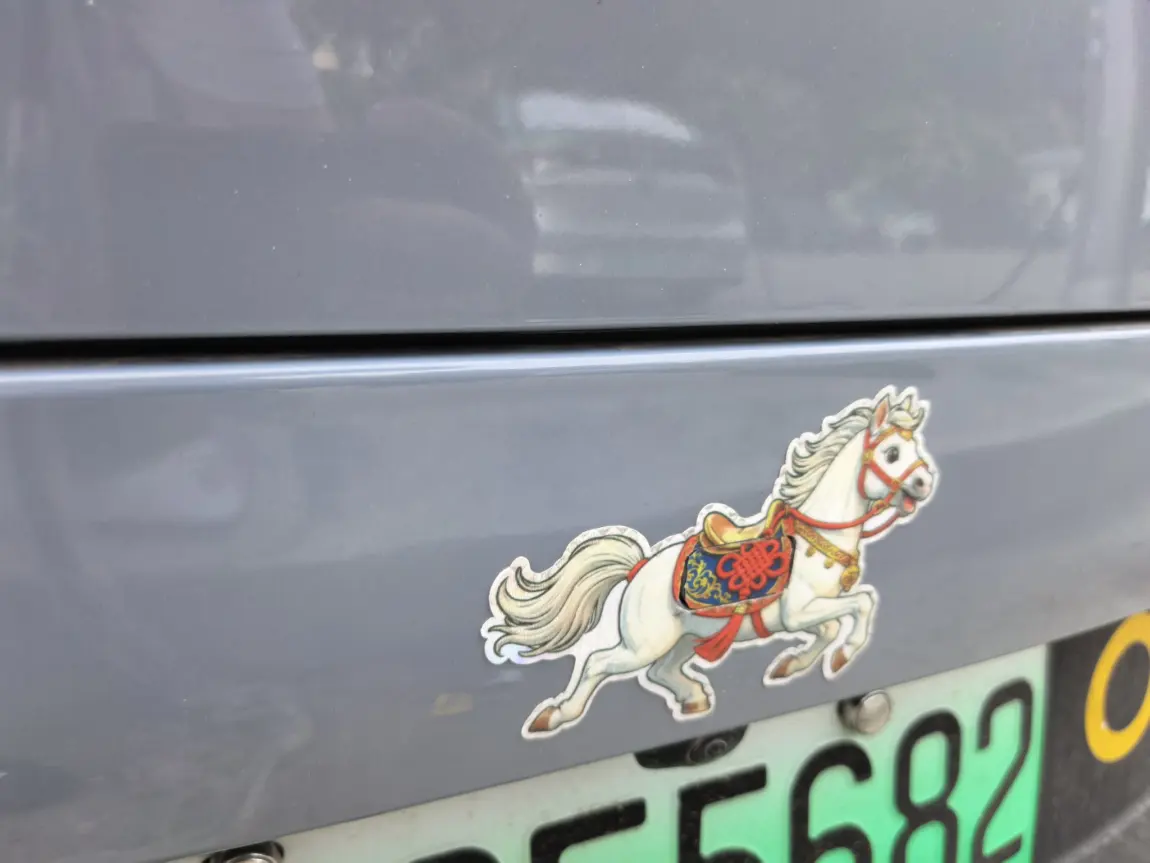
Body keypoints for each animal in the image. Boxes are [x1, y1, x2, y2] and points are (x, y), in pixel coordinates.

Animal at [481, 387, 938, 738]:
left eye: (915, 447)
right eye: (892, 452)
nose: (925, 481)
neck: (817, 539)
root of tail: (638, 571)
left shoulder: (802, 614)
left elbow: (834, 624)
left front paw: (791, 665)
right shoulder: (799, 610)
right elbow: (861, 604)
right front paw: (843, 657)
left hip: (684, 639)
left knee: (659, 674)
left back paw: (695, 698)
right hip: (645, 643)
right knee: (598, 663)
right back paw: (555, 715)